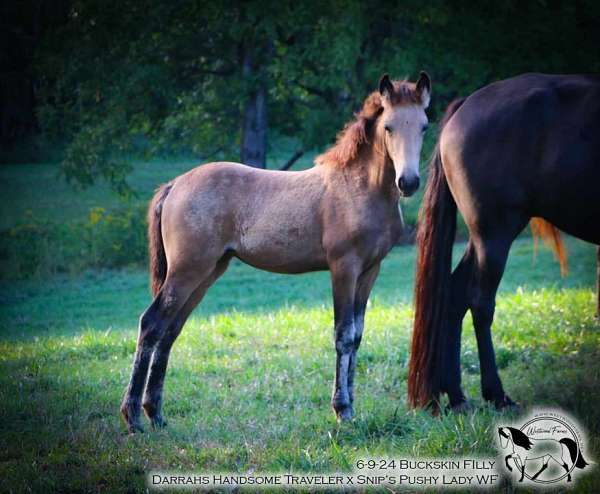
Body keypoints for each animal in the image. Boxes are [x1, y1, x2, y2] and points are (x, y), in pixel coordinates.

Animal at [122, 73, 432, 432]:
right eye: (389, 127)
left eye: (424, 126)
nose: (408, 182)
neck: (358, 188)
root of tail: (174, 185)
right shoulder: (344, 268)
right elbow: (342, 335)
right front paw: (342, 409)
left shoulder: (370, 271)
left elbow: (356, 336)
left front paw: (352, 408)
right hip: (187, 271)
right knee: (151, 324)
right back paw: (133, 417)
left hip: (207, 272)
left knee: (169, 330)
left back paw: (155, 414)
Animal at [408, 73, 600, 412]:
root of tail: (464, 106)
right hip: (494, 236)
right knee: (480, 303)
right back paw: (495, 394)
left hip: (482, 238)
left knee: (455, 295)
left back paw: (457, 396)